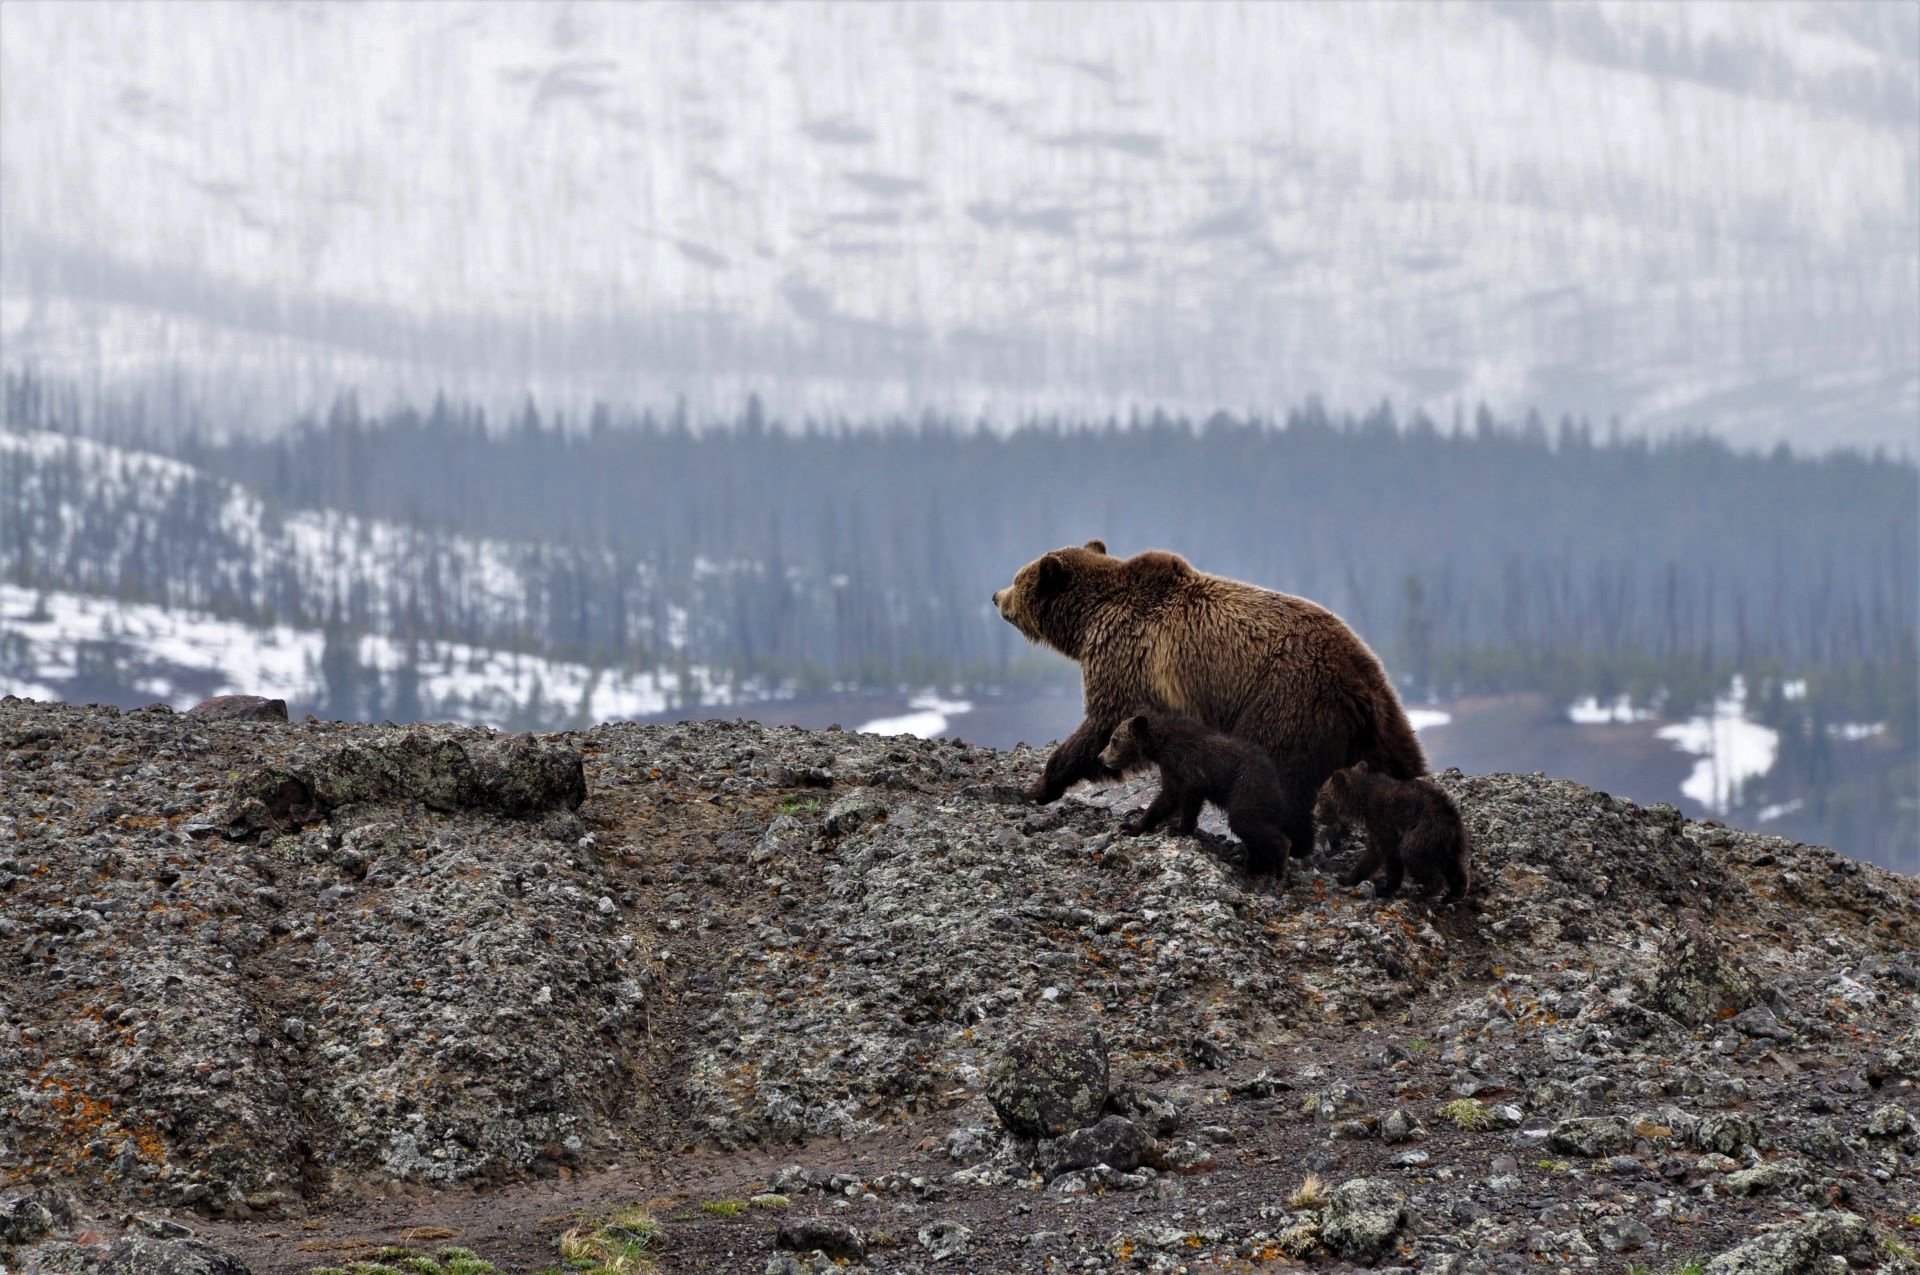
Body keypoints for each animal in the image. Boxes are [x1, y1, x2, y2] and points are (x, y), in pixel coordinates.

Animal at [992, 539, 1426, 861]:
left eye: (1017, 577)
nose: (996, 595)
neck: (1088, 621)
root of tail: (1358, 681)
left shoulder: (1127, 656)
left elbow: (1103, 723)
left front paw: (1040, 785)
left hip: (1285, 699)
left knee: (1280, 774)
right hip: (1382, 717)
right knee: (1402, 763)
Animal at [1097, 709, 1294, 878]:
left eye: (1114, 740)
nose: (1101, 756)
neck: (1161, 745)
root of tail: (1277, 784)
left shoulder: (1189, 766)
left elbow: (1189, 796)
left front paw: (1179, 828)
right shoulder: (1169, 768)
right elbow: (1166, 798)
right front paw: (1132, 823)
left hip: (1247, 787)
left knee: (1244, 820)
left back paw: (1278, 862)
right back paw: (1254, 863)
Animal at [1312, 761, 1471, 901]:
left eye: (1321, 797)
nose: (1314, 814)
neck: (1363, 802)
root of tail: (1452, 819)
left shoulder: (1382, 820)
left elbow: (1387, 854)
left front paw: (1385, 889)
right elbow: (1373, 854)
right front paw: (1347, 878)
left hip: (1425, 831)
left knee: (1412, 854)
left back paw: (1424, 893)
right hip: (1449, 844)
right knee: (1454, 867)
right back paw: (1453, 894)